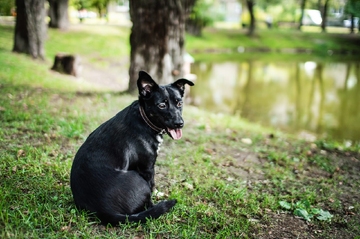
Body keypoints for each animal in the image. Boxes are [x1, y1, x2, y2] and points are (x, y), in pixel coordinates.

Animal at [69, 70, 194, 224]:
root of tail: (105, 211)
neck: (144, 121)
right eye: (161, 105)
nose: (179, 123)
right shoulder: (147, 168)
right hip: (137, 178)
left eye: (180, 103)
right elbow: (152, 186)